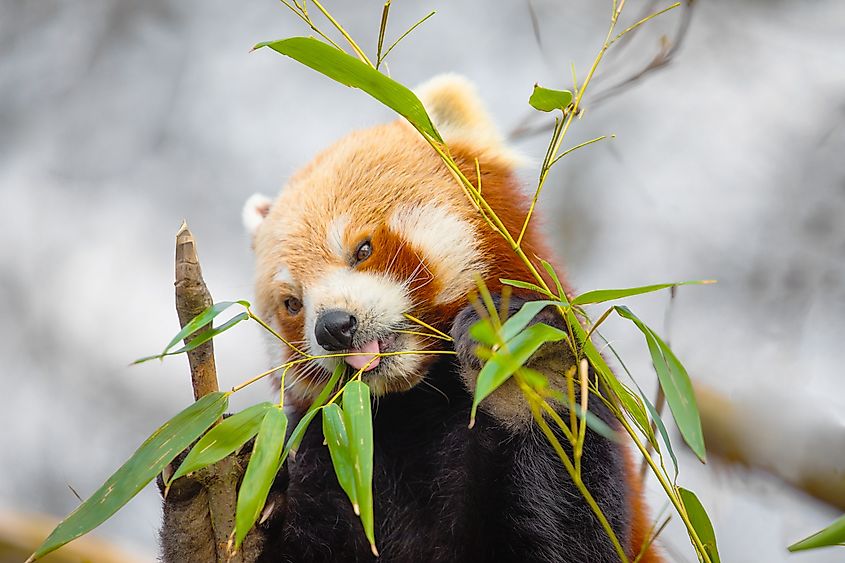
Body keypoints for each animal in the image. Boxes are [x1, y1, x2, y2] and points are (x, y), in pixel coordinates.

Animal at [160, 74, 660, 563]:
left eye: (363, 249)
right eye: (292, 303)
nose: (333, 327)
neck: (416, 404)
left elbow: (569, 537)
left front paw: (528, 379)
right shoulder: (333, 445)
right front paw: (207, 511)